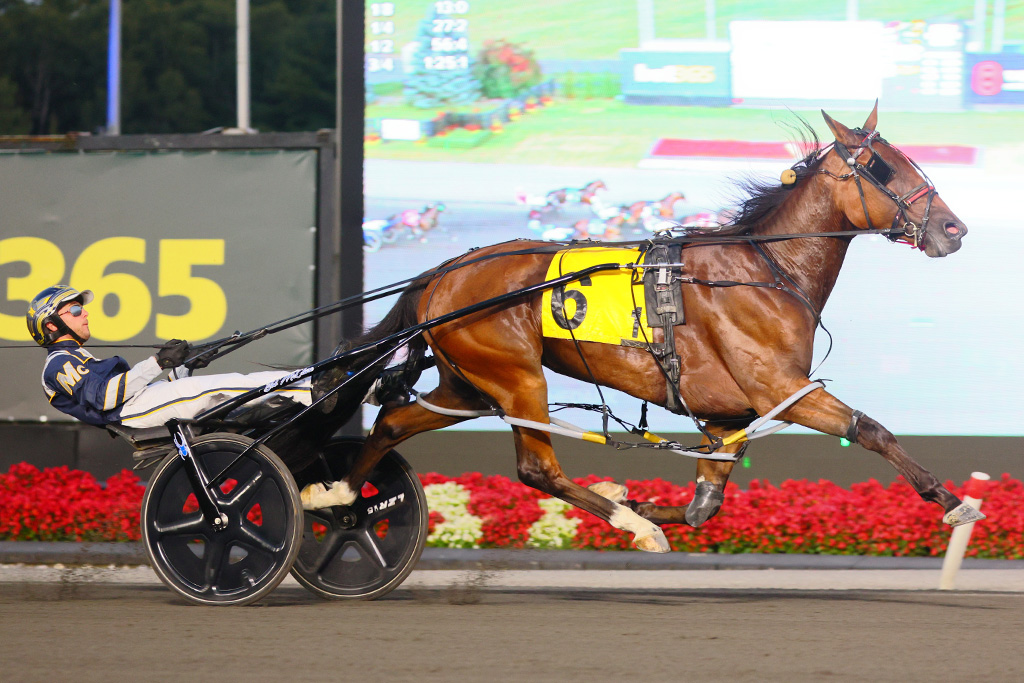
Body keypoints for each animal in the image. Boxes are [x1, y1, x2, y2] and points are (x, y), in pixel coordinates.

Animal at [301, 108, 983, 557]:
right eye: (882, 168)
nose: (953, 229)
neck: (764, 269)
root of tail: (441, 273)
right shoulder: (780, 389)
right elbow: (871, 429)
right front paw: (955, 502)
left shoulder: (727, 416)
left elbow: (704, 505)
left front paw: (643, 501)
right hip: (516, 378)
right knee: (536, 468)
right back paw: (635, 528)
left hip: (467, 384)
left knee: (393, 421)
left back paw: (336, 496)